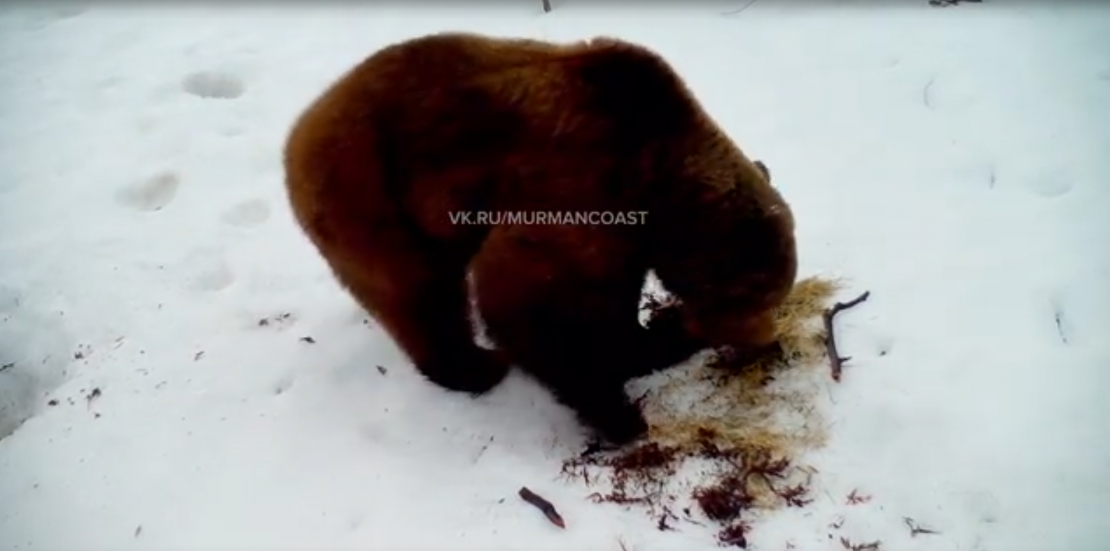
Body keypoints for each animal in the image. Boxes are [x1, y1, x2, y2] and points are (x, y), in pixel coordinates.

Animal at [282, 31, 797, 445]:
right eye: (758, 297)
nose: (766, 340)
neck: (659, 181)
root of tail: (301, 127)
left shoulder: (627, 237)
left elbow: (613, 302)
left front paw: (655, 335)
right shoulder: (578, 186)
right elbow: (530, 296)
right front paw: (617, 412)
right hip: (371, 195)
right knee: (421, 295)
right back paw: (475, 367)